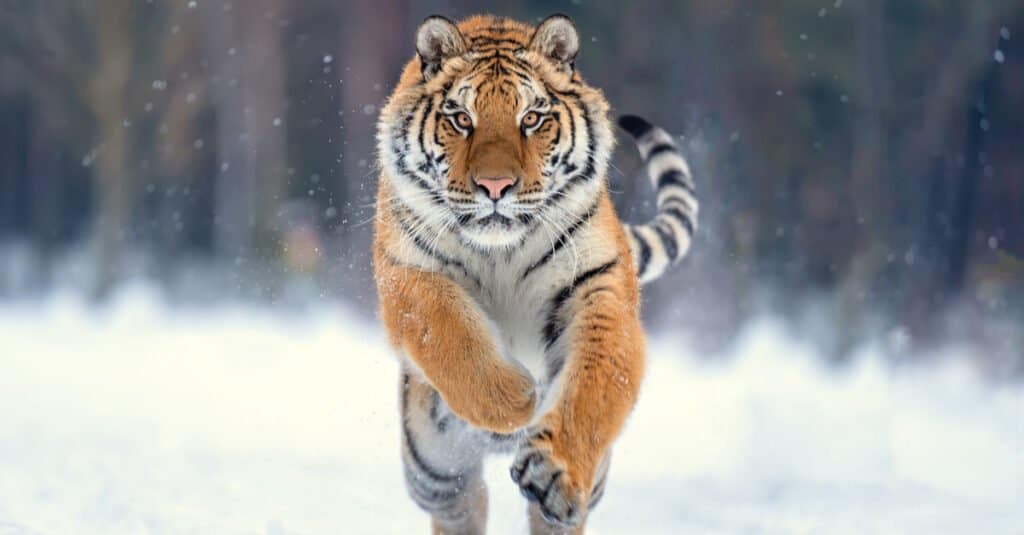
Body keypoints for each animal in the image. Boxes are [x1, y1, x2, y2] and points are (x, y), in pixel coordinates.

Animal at [372, 13, 700, 532]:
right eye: (461, 118)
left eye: (531, 119)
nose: (495, 186)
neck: (500, 250)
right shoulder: (405, 274)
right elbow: (449, 334)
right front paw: (516, 398)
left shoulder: (598, 286)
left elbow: (595, 382)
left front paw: (554, 469)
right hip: (435, 475)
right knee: (465, 503)